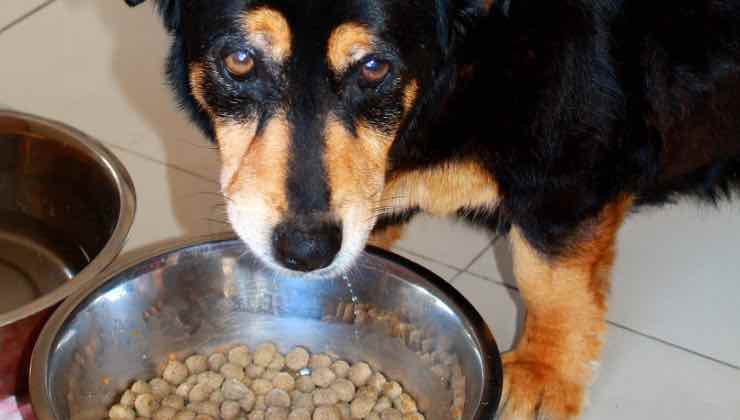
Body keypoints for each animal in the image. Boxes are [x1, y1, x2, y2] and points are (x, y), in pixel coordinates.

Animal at [123, 1, 740, 418]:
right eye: (239, 59)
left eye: (374, 67)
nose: (305, 251)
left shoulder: (570, 163)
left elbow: (549, 281)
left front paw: (544, 374)